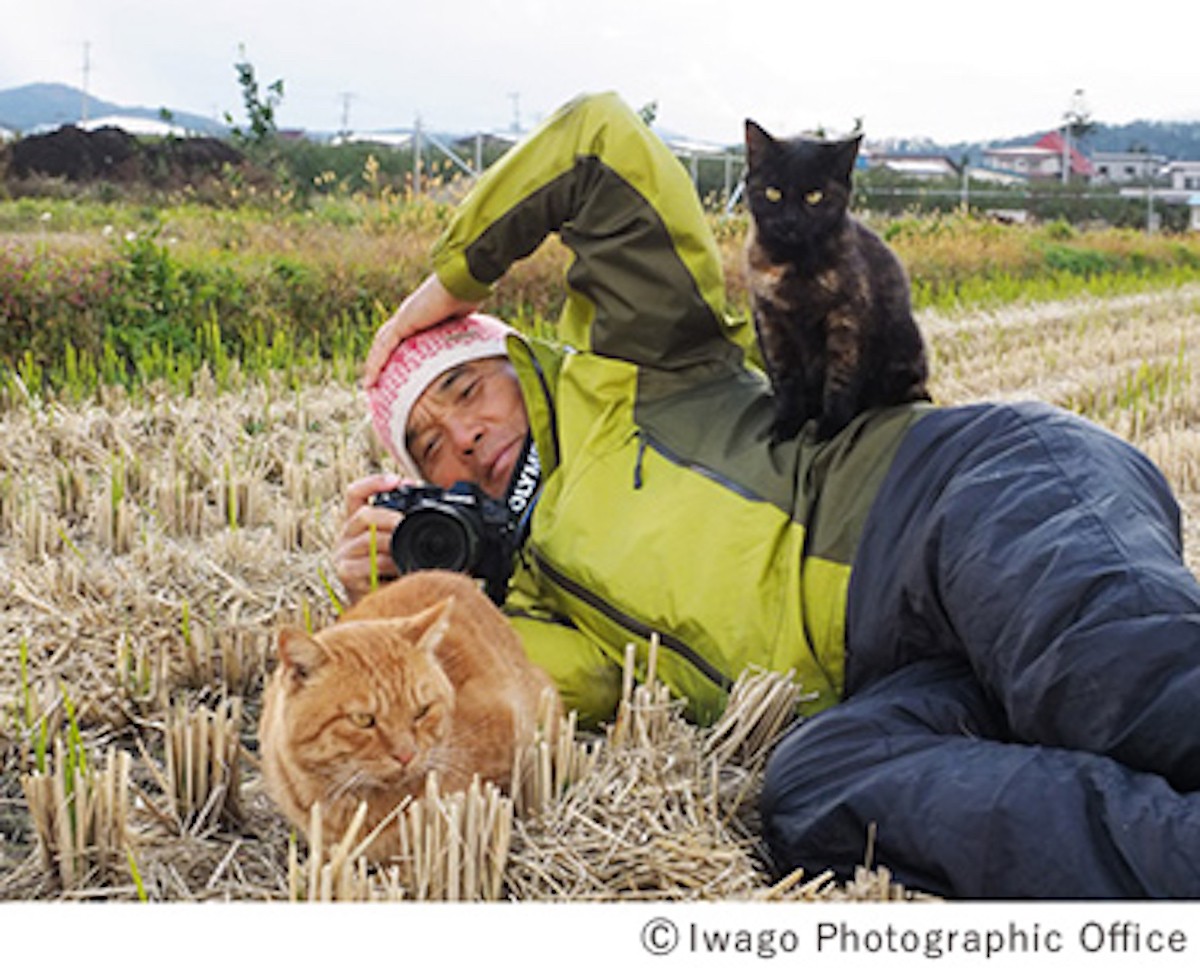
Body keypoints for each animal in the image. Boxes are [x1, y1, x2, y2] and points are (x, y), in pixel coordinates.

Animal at [739, 119, 926, 441]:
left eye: (815, 196)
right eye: (773, 193)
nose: (790, 221)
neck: (794, 266)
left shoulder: (847, 323)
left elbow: (840, 379)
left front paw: (831, 426)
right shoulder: (771, 322)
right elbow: (785, 379)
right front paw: (787, 423)